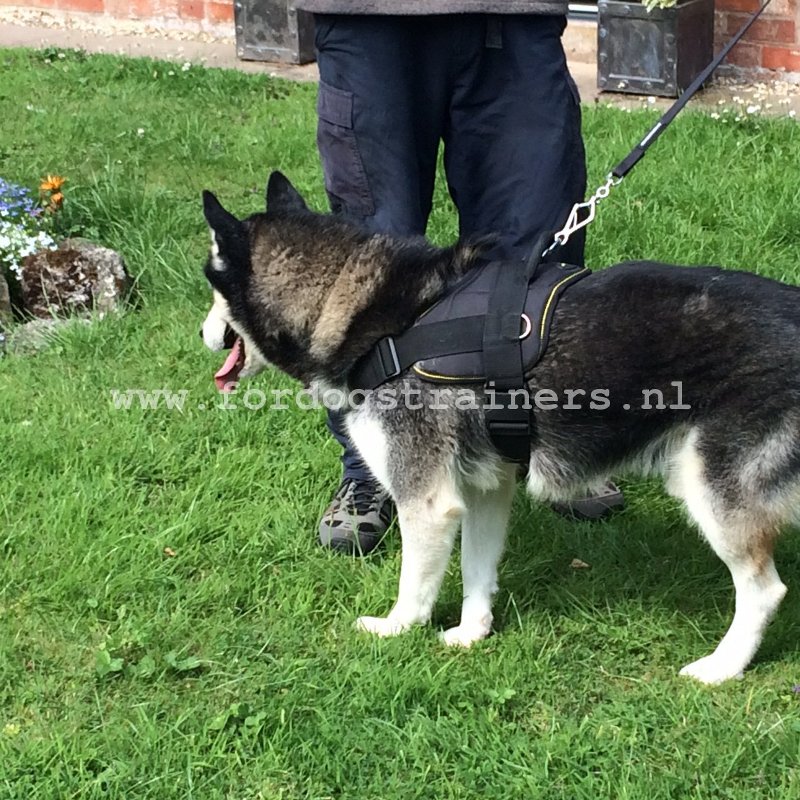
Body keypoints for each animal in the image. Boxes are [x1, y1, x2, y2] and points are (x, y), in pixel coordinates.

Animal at [202, 172, 800, 684]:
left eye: (211, 287)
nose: (202, 335)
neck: (371, 315)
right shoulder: (485, 488)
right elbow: (476, 570)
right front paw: (472, 633)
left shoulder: (426, 500)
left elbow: (415, 585)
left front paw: (397, 630)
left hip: (710, 489)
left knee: (764, 591)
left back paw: (721, 667)